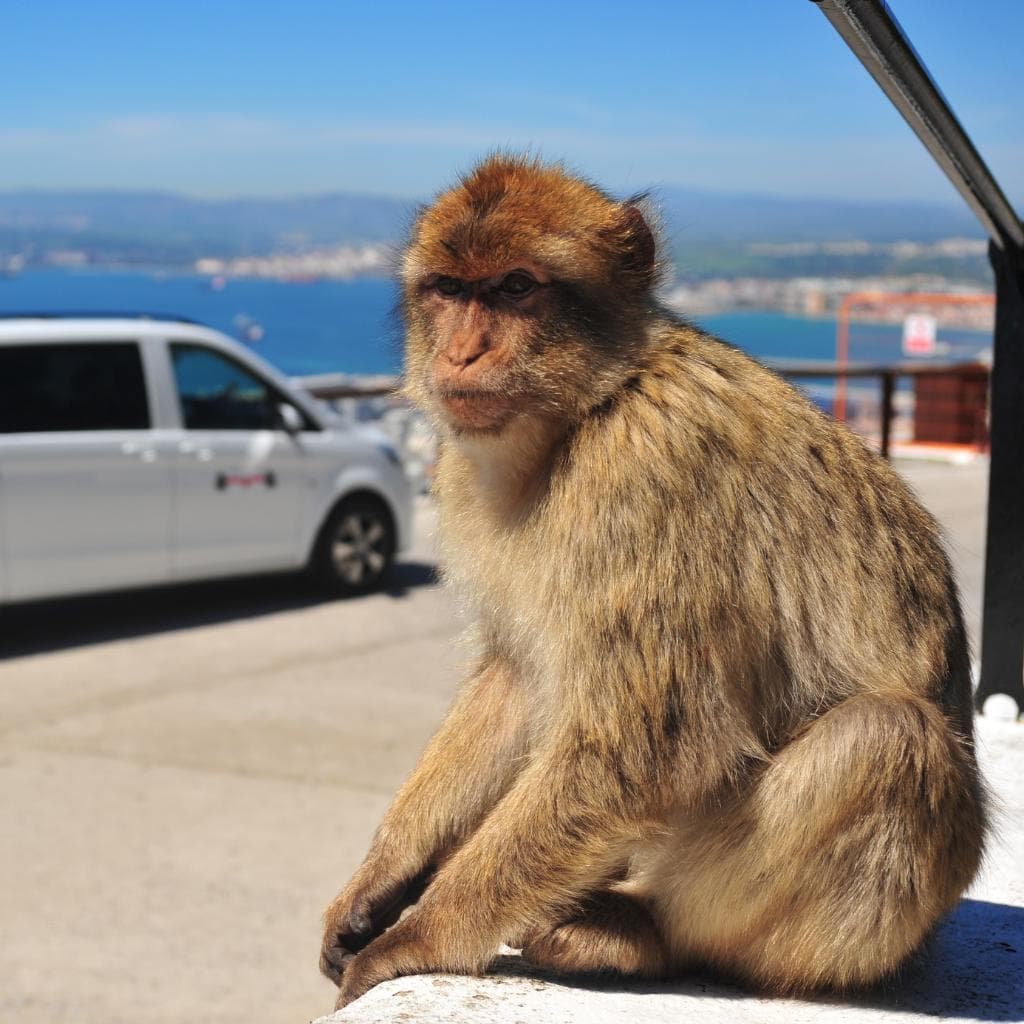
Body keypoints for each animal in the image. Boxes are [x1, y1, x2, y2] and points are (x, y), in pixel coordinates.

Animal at [320, 155, 987, 1009]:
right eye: (448, 289)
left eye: (514, 288)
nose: (461, 353)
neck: (587, 410)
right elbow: (516, 679)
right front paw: (382, 879)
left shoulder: (646, 470)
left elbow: (648, 746)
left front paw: (415, 937)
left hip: (864, 937)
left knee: (889, 740)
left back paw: (645, 935)